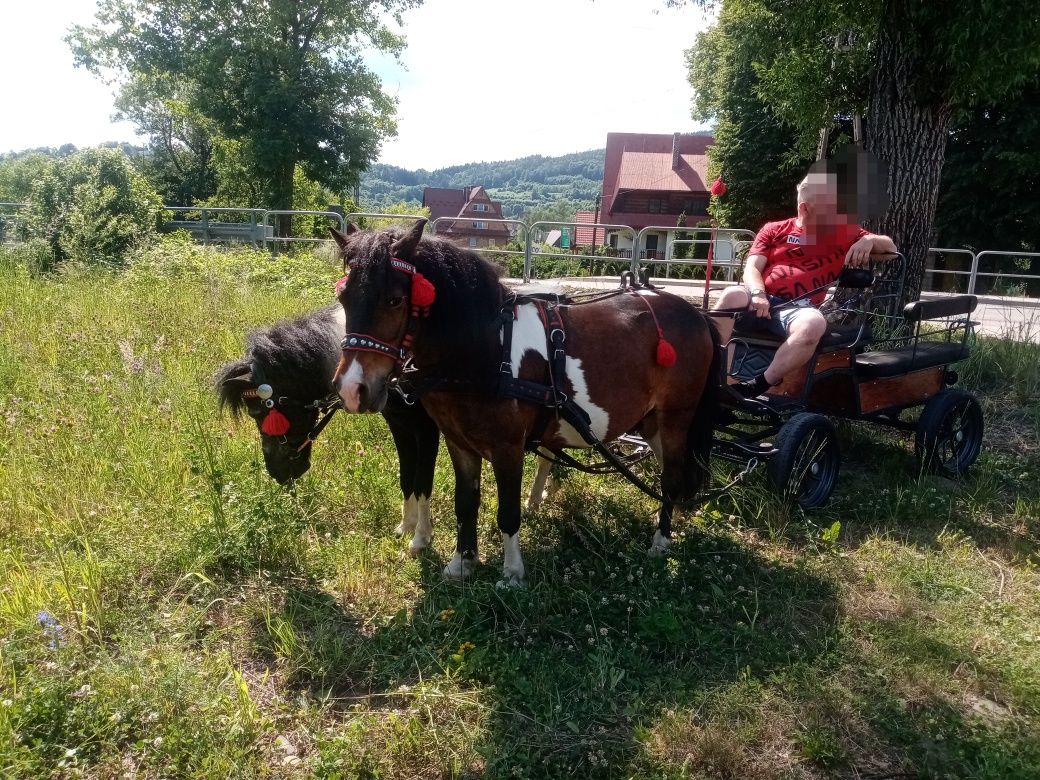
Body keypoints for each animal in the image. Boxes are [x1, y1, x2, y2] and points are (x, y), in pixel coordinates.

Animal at [215, 305, 443, 557]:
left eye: (257, 413)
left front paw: (421, 538)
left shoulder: (426, 430)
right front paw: (406, 526)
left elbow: (422, 484)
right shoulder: (399, 425)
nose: (277, 473)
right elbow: (406, 477)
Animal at [328, 220, 719, 586]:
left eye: (394, 299)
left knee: (671, 477)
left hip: (675, 417)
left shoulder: (508, 448)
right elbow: (465, 503)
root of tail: (695, 314)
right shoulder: (458, 443)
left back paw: (661, 540)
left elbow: (508, 511)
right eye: (344, 297)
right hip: (651, 422)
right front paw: (462, 562)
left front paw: (512, 571)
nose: (352, 389)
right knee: (672, 472)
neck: (485, 352)